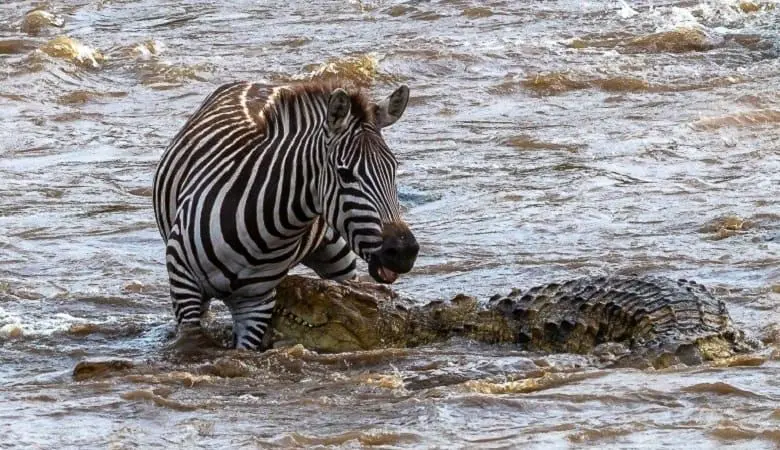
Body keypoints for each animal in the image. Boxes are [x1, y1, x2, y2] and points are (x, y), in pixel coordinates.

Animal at [154, 79, 420, 350]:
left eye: (394, 168)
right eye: (345, 174)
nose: (404, 252)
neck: (267, 236)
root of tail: (257, 82)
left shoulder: (256, 304)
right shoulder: (183, 281)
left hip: (339, 259)